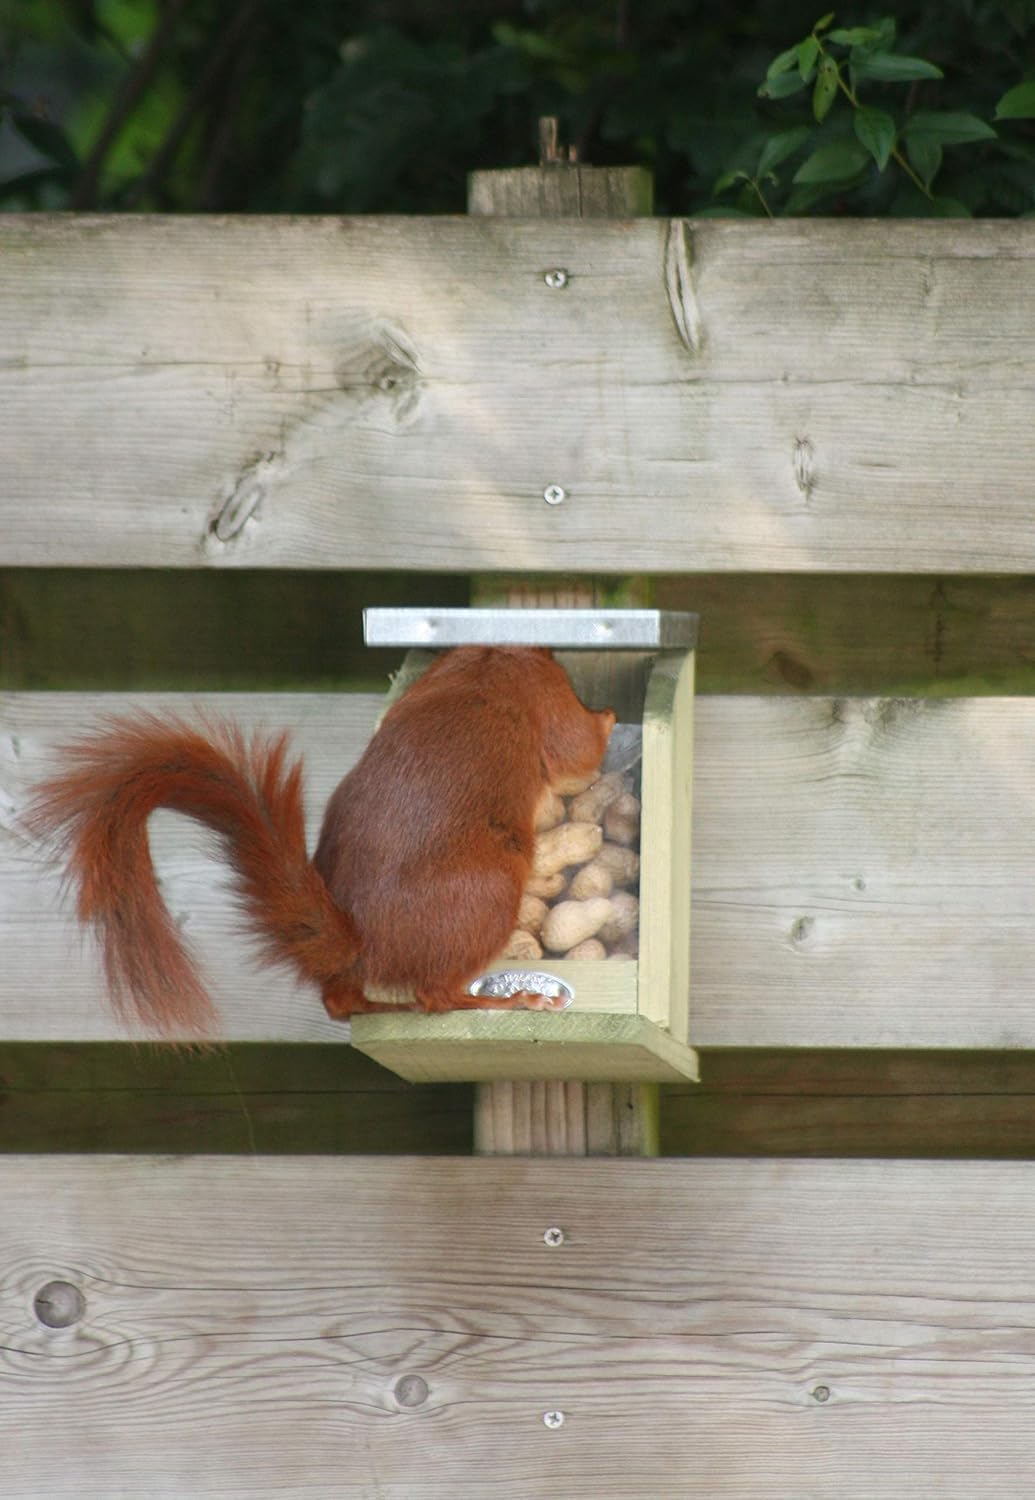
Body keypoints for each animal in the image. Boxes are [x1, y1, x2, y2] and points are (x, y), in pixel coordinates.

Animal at [29, 646, 615, 1037]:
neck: (486, 657)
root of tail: (362, 940)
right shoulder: (544, 692)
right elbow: (578, 748)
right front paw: (608, 718)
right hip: (489, 894)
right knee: (437, 997)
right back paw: (510, 1002)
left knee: (340, 1001)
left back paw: (379, 1009)